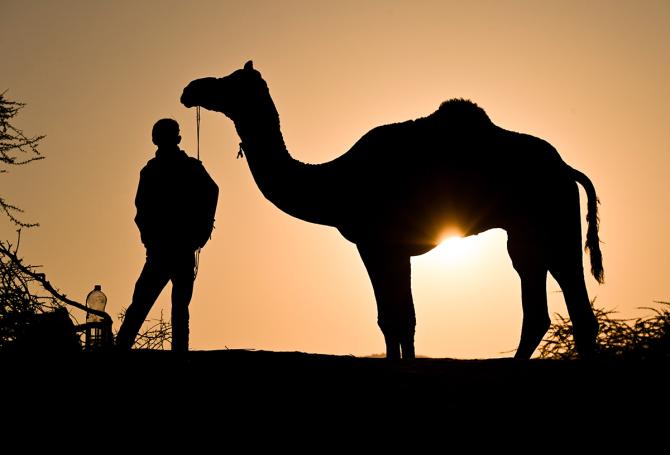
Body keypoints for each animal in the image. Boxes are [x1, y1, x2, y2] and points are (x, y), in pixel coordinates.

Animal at [181, 61, 604, 360]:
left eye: (232, 82)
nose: (191, 88)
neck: (335, 182)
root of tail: (566, 168)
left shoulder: (375, 244)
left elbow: (392, 319)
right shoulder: (397, 250)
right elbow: (404, 320)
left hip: (551, 219)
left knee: (562, 304)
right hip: (534, 230)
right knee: (555, 306)